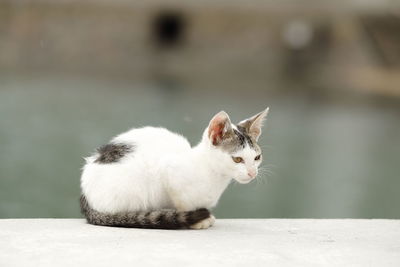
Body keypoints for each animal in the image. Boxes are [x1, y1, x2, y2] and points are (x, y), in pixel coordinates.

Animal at [79, 109, 268, 230]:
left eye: (257, 157)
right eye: (237, 159)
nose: (252, 173)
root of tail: (86, 197)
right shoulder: (169, 171)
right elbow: (183, 203)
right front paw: (197, 220)